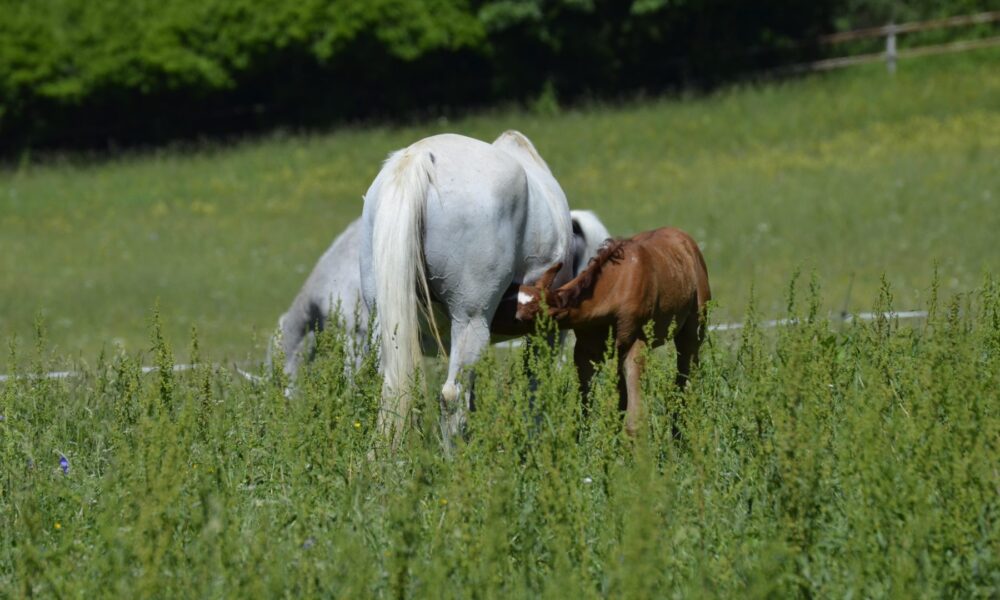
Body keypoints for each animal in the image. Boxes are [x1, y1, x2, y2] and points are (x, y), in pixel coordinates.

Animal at [362, 132, 580, 450]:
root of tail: (421, 156)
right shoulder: (545, 333)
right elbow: (535, 389)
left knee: (394, 392)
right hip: (471, 321)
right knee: (451, 396)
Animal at [516, 227, 712, 434]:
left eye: (525, 317)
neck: (616, 285)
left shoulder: (635, 345)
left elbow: (634, 420)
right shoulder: (585, 351)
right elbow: (585, 411)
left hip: (692, 333)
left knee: (686, 380)